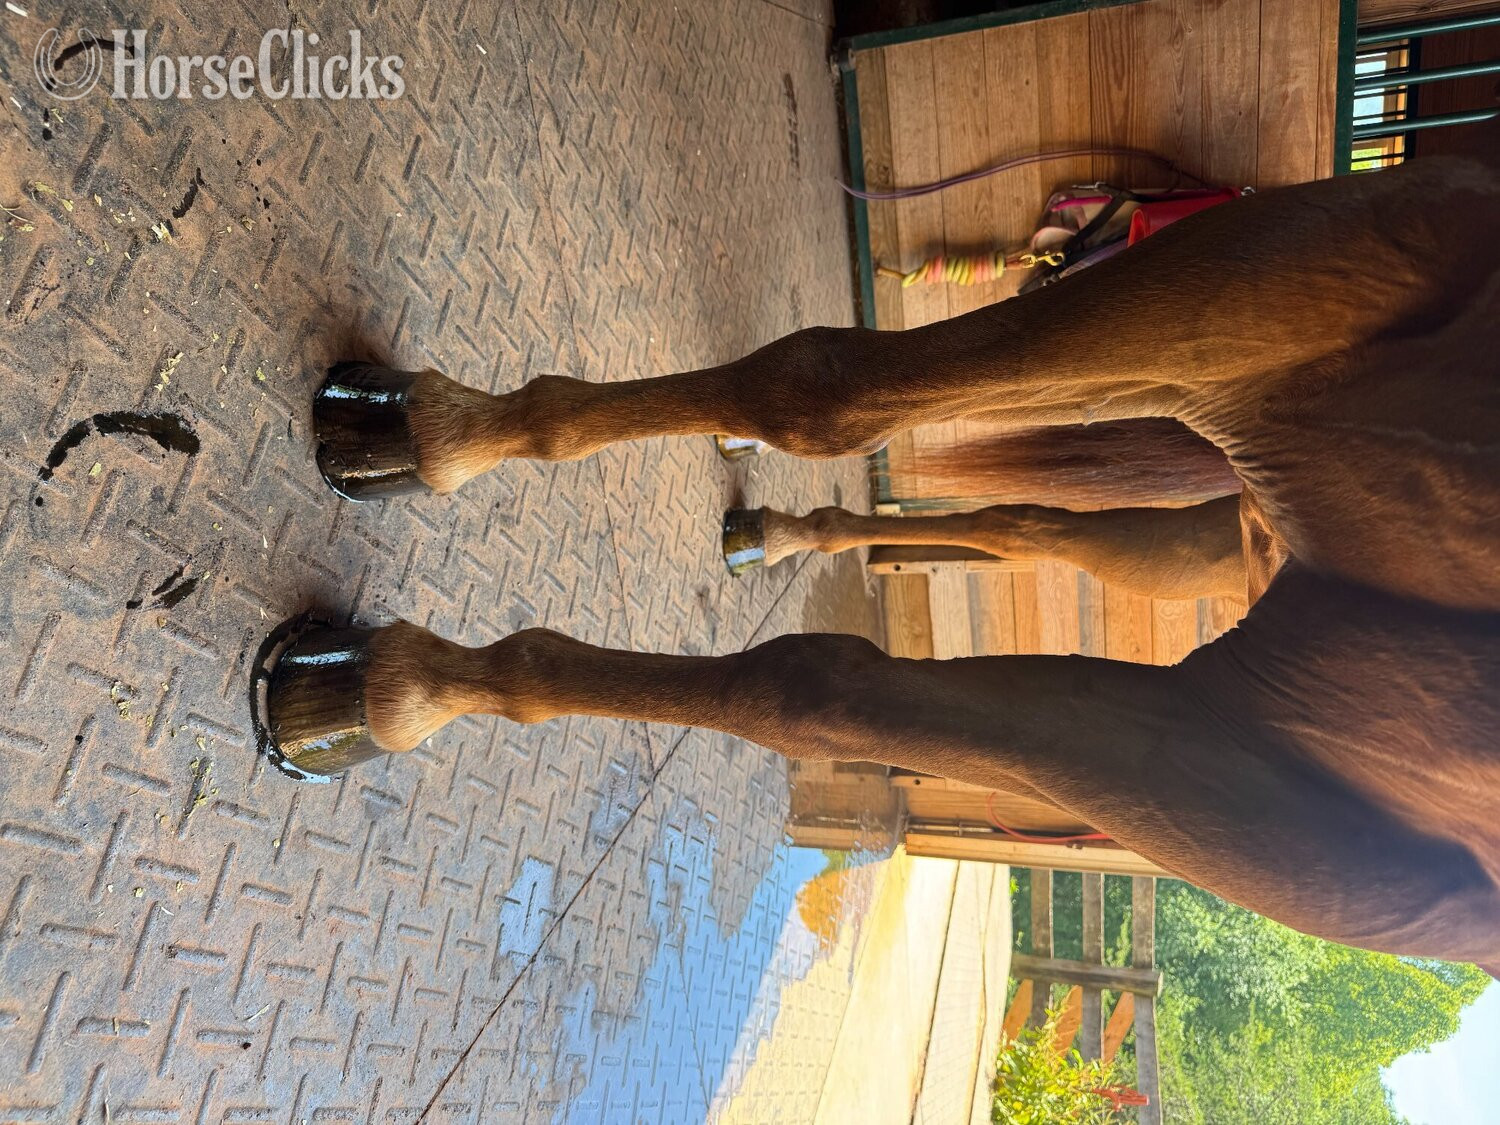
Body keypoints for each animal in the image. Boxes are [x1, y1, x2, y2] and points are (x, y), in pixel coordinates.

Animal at [267, 122, 1500, 976]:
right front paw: (417, 438)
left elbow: (806, 690)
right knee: (1017, 520)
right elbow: (821, 387)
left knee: (1020, 530)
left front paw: (376, 691)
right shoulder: (1282, 280)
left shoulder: (1264, 781)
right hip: (1220, 477)